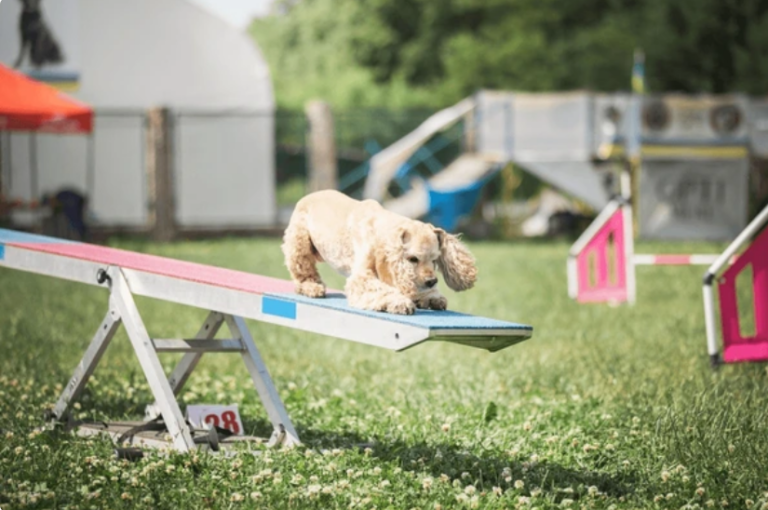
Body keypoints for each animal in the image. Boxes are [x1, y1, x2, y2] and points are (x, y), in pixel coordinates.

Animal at [280, 190, 476, 314]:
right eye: (413, 259)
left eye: (435, 260)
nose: (431, 281)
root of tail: (305, 197)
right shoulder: (362, 276)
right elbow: (383, 289)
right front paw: (400, 302)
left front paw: (431, 298)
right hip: (299, 241)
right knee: (302, 272)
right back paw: (312, 287)